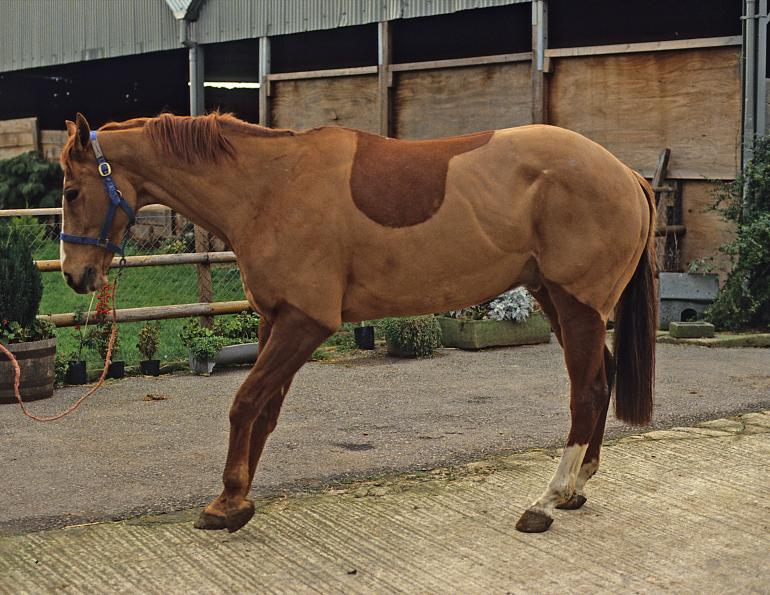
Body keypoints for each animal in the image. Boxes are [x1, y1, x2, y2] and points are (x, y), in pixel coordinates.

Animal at [59, 112, 656, 534]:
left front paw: (226, 502)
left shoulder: (305, 322)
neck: (270, 186)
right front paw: (238, 497)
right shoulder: (275, 320)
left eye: (69, 190)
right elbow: (264, 411)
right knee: (599, 377)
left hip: (576, 304)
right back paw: (576, 488)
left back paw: (547, 501)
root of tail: (626, 174)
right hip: (555, 298)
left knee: (587, 390)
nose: (74, 275)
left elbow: (245, 403)